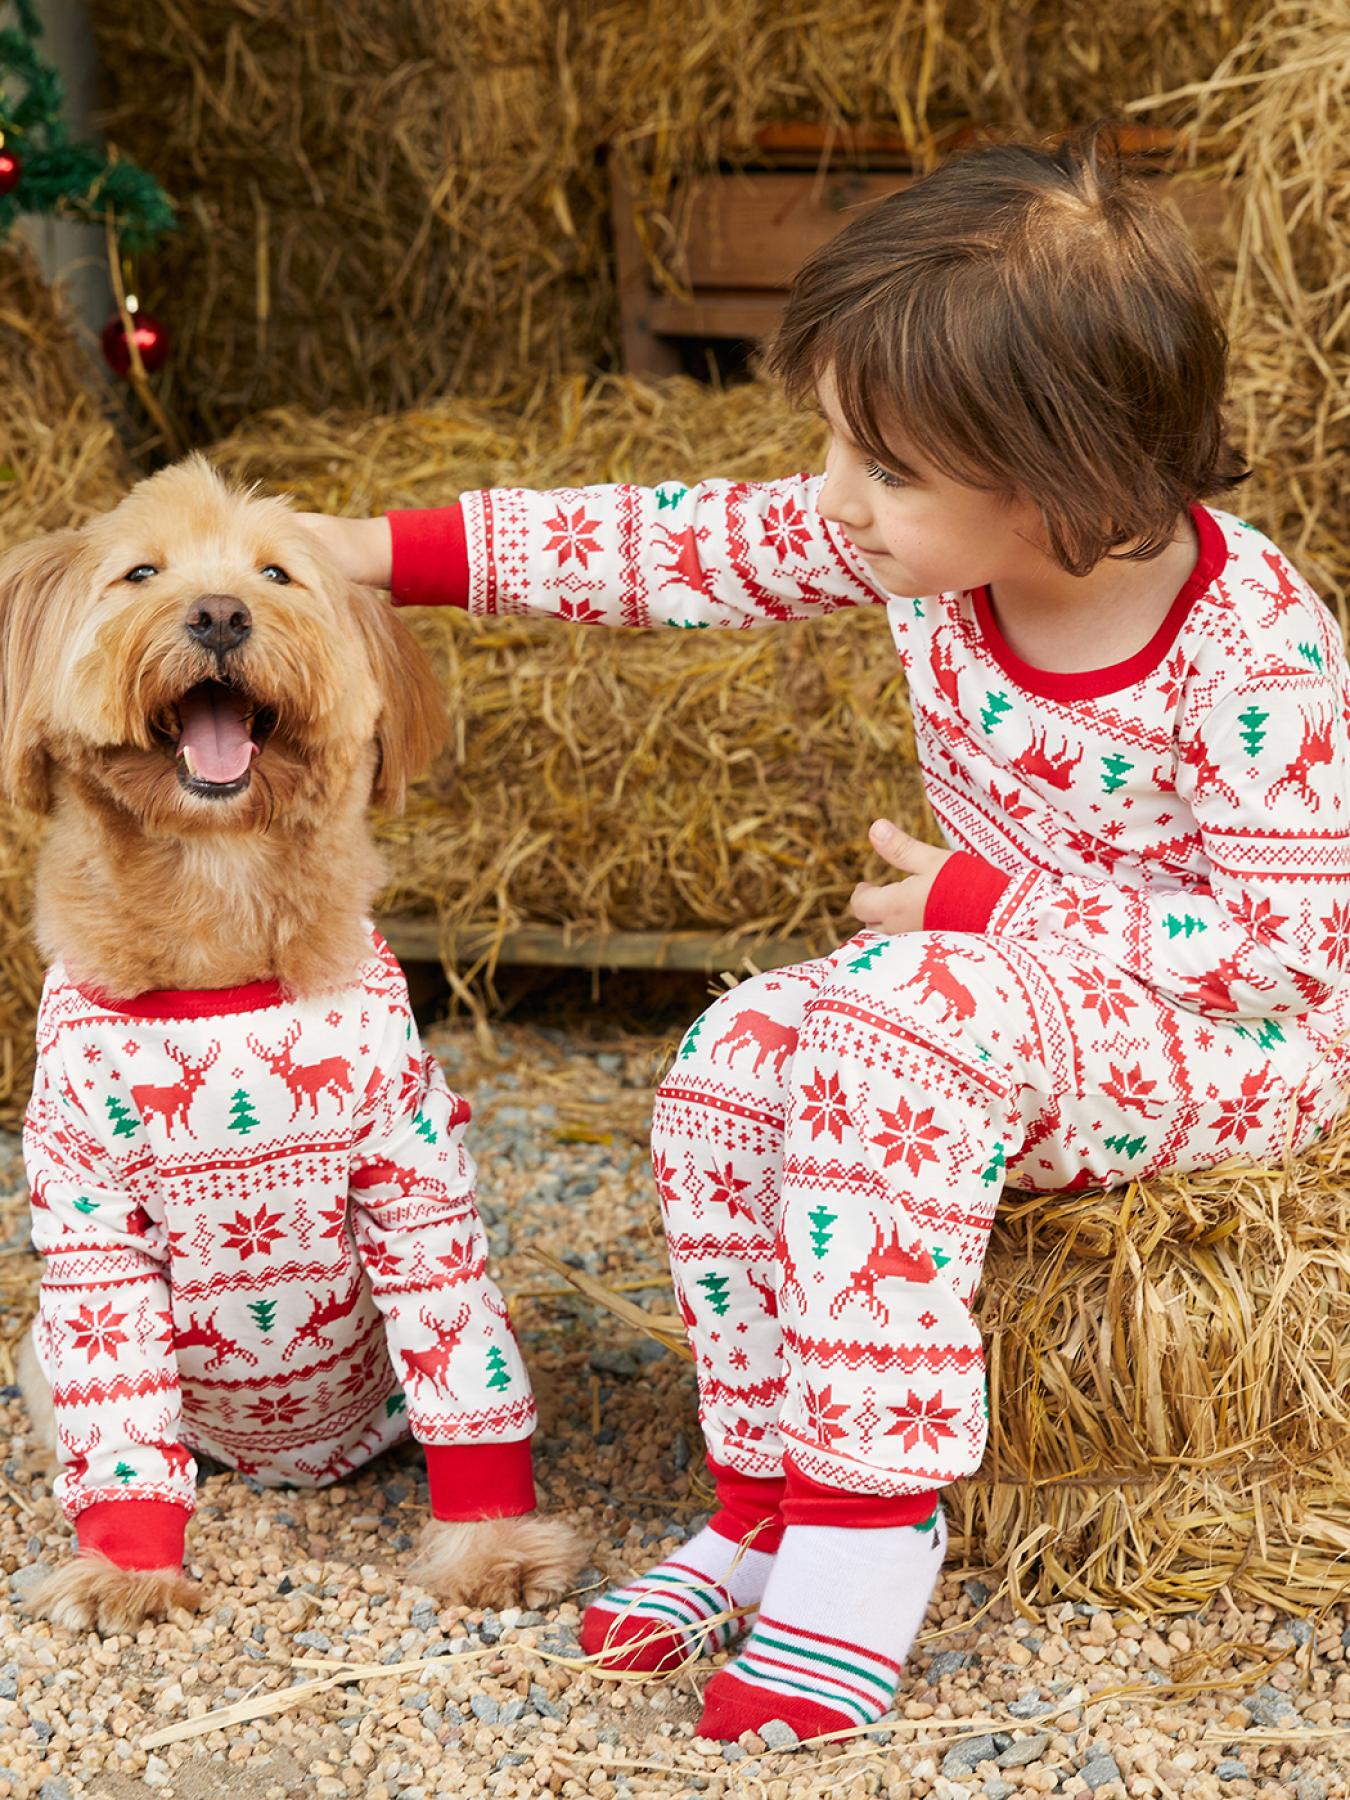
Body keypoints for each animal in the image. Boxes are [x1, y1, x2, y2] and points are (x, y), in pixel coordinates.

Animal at [0, 457, 586, 1641]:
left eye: (277, 573)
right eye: (141, 572)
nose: (220, 614)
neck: (218, 891)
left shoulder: (414, 1180)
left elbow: (471, 1376)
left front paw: (492, 1545)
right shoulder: (86, 1218)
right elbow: (120, 1415)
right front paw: (124, 1568)